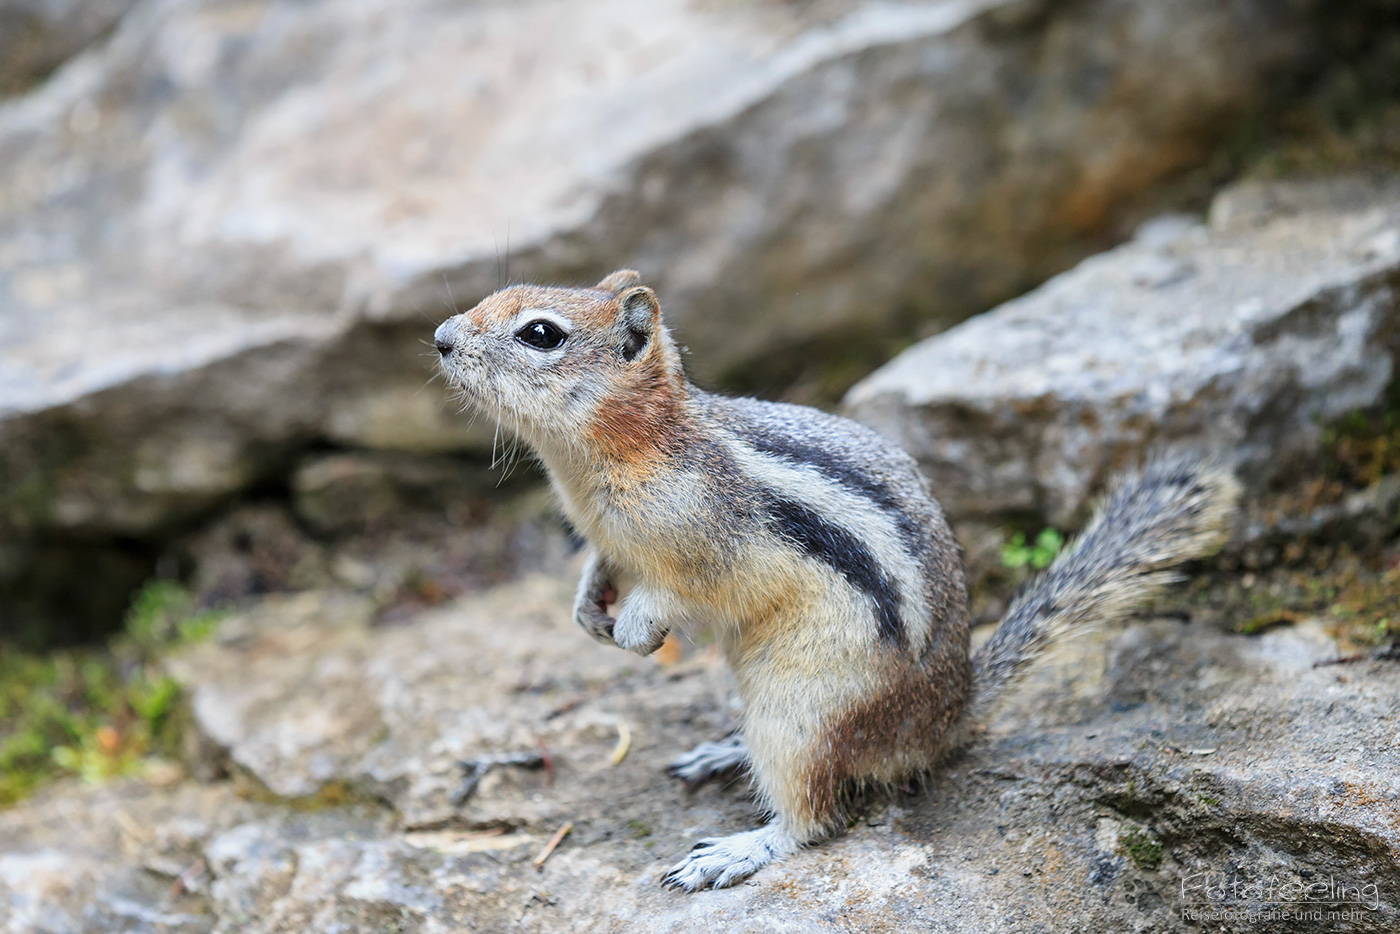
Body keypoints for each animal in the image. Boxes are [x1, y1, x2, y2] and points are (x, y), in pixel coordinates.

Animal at [433, 270, 1239, 891]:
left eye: (541, 334)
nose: (440, 337)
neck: (622, 449)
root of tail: (946, 718)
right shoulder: (606, 541)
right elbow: (600, 566)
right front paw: (587, 610)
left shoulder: (702, 545)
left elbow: (677, 591)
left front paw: (633, 629)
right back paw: (723, 751)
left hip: (804, 710)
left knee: (818, 812)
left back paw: (738, 850)